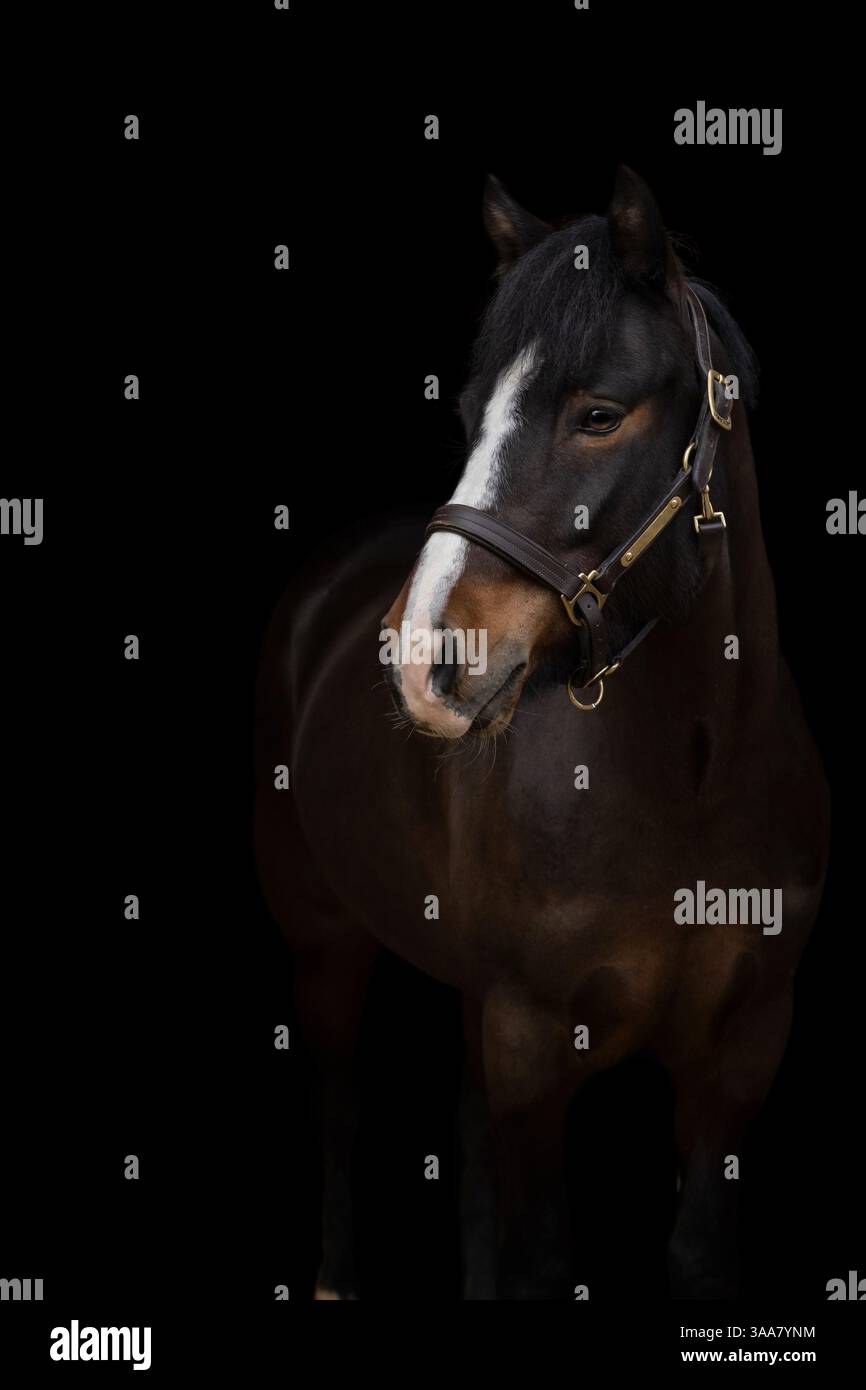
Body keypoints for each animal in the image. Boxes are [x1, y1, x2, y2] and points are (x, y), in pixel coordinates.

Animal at [254, 166, 829, 1300]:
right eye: (472, 414)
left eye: (598, 413)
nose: (420, 655)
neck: (692, 782)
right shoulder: (531, 1045)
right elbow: (540, 1252)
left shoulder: (742, 1053)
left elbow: (688, 1250)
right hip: (327, 940)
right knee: (340, 1110)